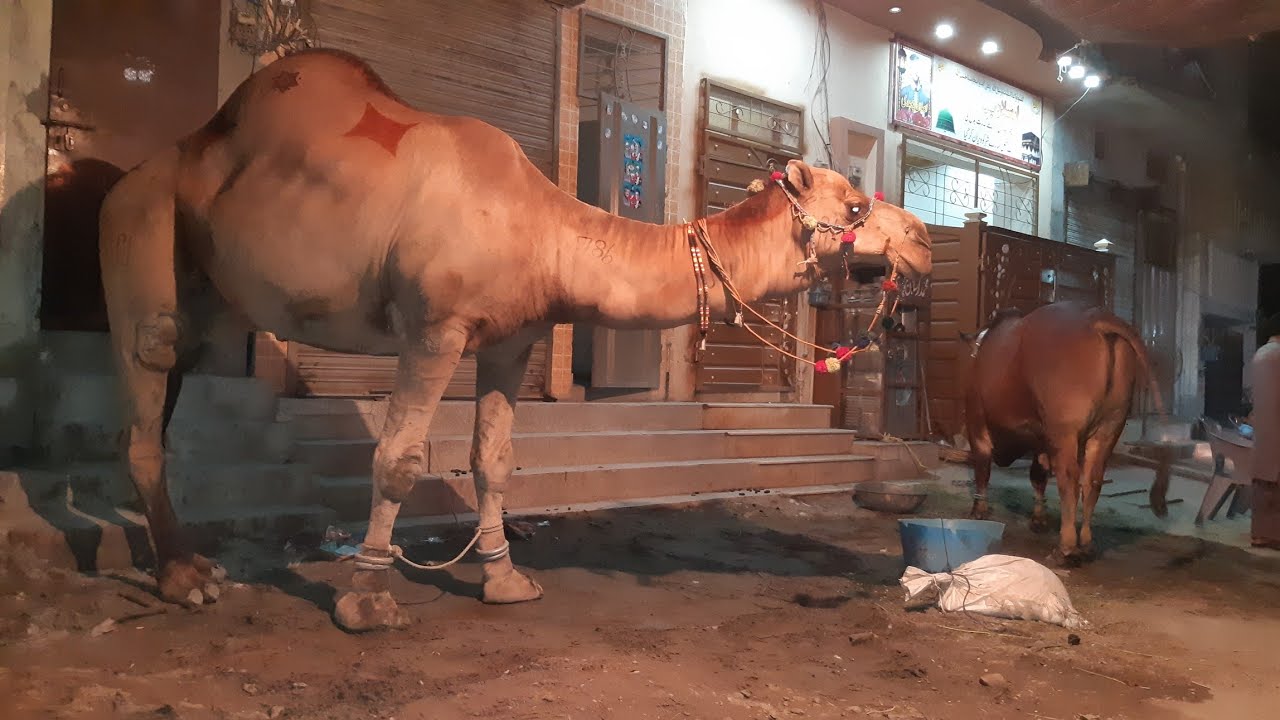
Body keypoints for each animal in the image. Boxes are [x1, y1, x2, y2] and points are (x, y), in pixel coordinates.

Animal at [99, 48, 932, 631]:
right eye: (855, 206)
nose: (924, 240)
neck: (542, 230)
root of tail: (134, 173)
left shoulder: (513, 340)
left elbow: (492, 460)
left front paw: (504, 580)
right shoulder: (435, 328)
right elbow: (399, 459)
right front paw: (367, 599)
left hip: (207, 281)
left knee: (170, 387)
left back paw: (186, 562)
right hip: (143, 230)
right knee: (148, 369)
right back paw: (185, 581)